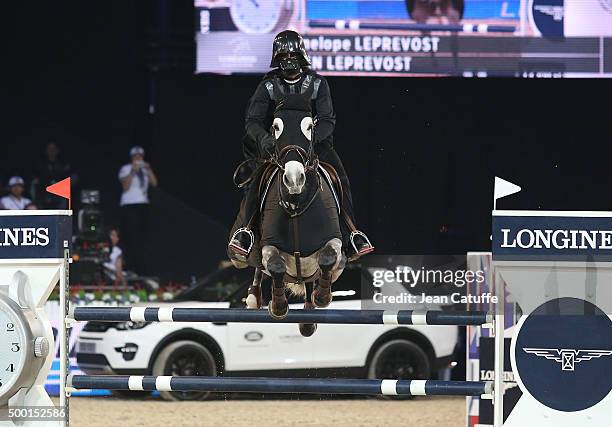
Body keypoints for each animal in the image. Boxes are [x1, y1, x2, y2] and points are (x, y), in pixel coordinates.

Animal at [228, 96, 344, 338]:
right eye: (275, 127)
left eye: (310, 127)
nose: (294, 178)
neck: (296, 203)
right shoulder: (268, 246)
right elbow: (275, 266)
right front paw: (278, 305)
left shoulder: (335, 244)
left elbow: (328, 259)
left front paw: (322, 296)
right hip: (238, 256)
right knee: (253, 265)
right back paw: (254, 296)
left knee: (310, 281)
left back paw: (309, 314)